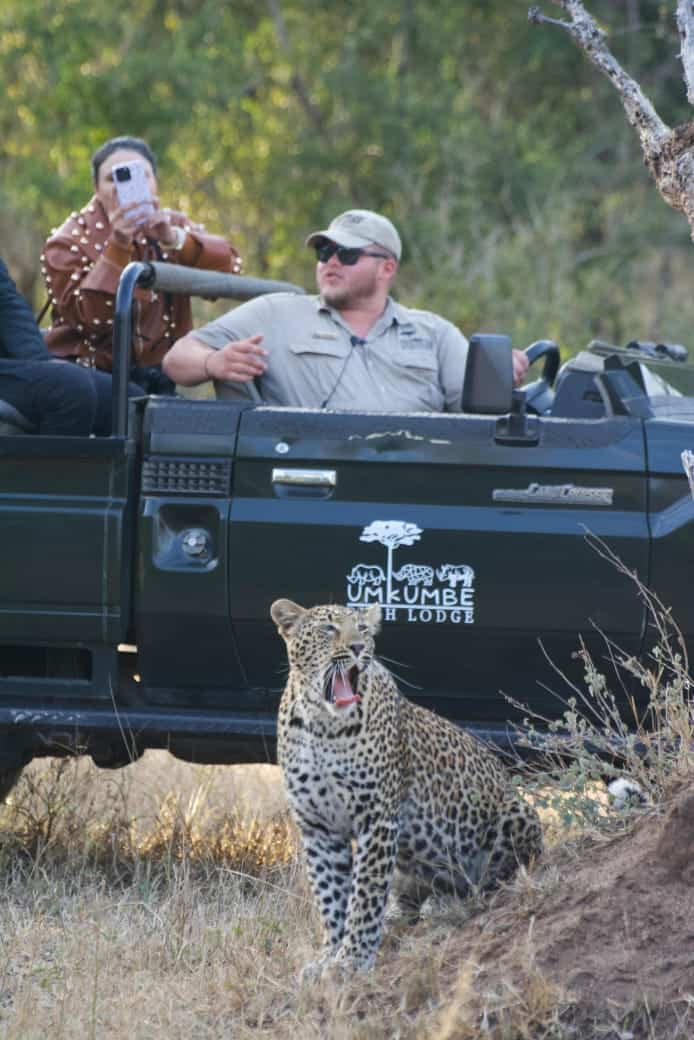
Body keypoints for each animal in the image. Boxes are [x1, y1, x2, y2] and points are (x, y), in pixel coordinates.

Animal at [271, 598, 543, 975]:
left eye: (364, 629)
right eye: (329, 629)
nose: (358, 648)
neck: (321, 724)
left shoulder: (376, 818)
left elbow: (365, 893)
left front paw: (352, 958)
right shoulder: (317, 826)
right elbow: (330, 896)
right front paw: (329, 955)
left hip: (515, 815)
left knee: (490, 883)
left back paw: (446, 905)